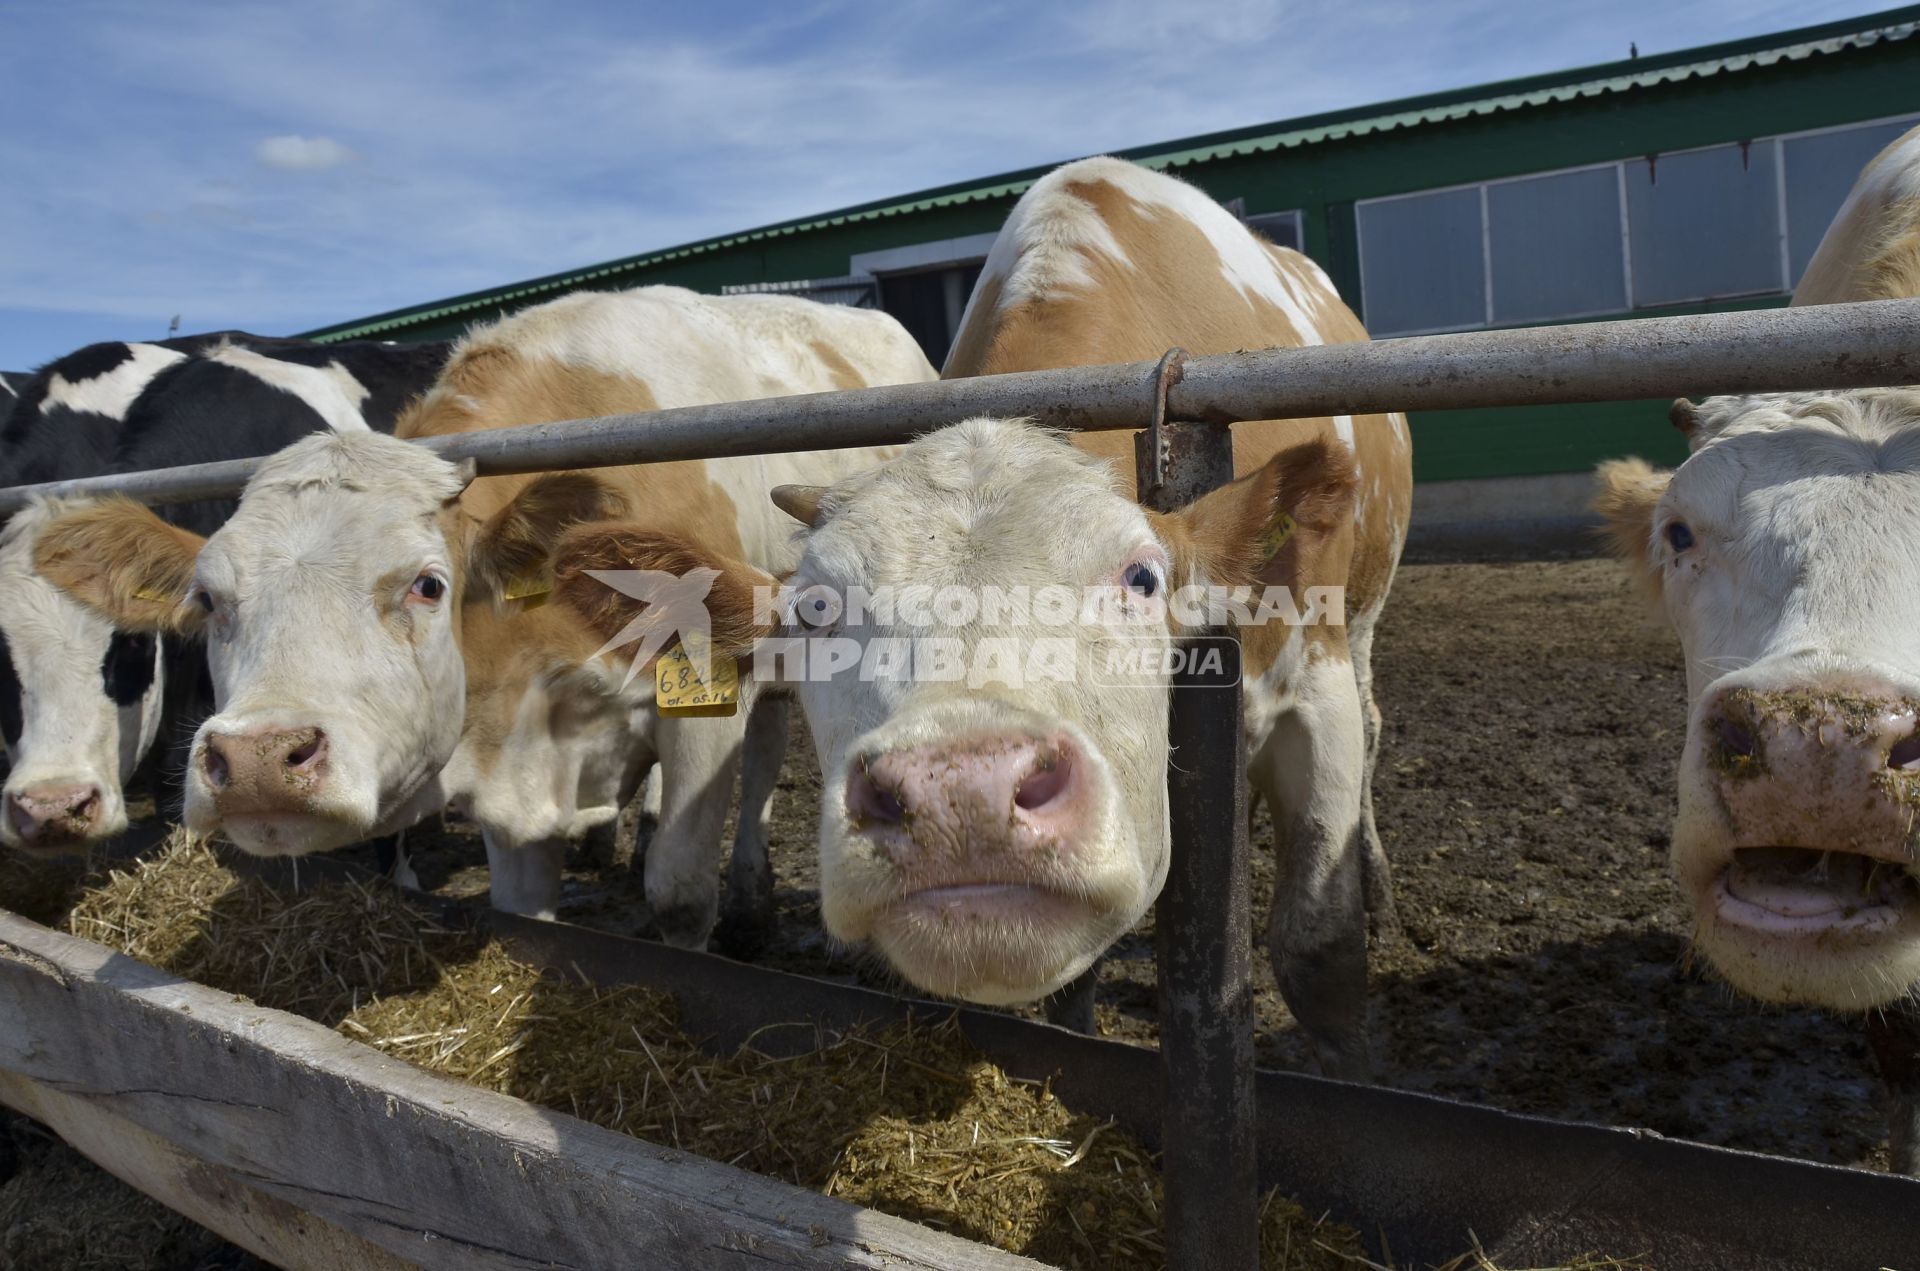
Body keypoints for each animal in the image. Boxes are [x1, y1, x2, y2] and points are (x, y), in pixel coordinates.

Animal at [541, 154, 1413, 1082]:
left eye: (1141, 576)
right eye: (814, 607)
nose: (963, 795)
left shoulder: (1312, 682)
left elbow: (1318, 948)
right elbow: (1074, 981)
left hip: (1362, 620)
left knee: (1372, 722)